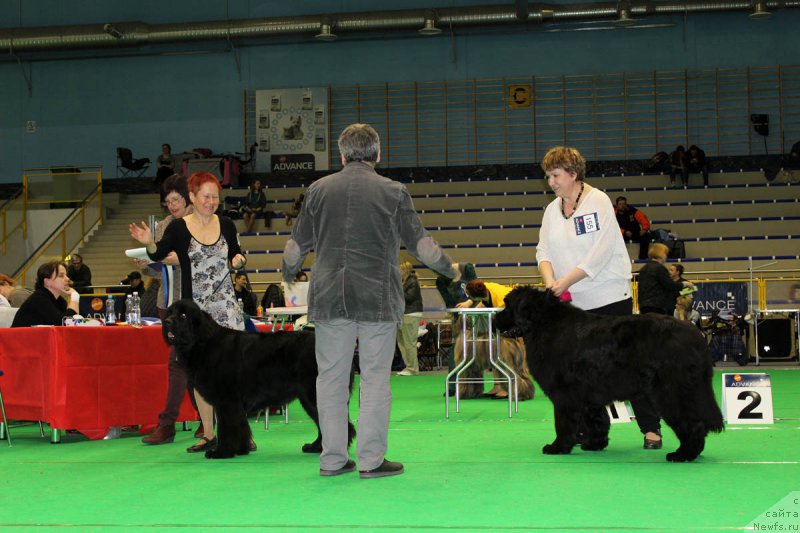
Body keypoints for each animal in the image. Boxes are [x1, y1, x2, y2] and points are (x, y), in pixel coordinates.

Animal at [164, 300, 354, 458]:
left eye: (183, 316)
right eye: (169, 313)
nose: (166, 322)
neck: (203, 343)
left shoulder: (227, 400)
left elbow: (227, 428)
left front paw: (221, 452)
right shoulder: (234, 403)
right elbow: (240, 425)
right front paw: (241, 449)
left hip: (313, 394)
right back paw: (316, 447)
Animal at [494, 286, 724, 462]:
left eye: (508, 305)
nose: (495, 319)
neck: (545, 323)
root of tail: (696, 336)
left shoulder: (564, 394)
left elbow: (563, 423)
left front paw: (558, 447)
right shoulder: (588, 394)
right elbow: (596, 420)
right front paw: (594, 444)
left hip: (672, 391)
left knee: (692, 423)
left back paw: (683, 454)